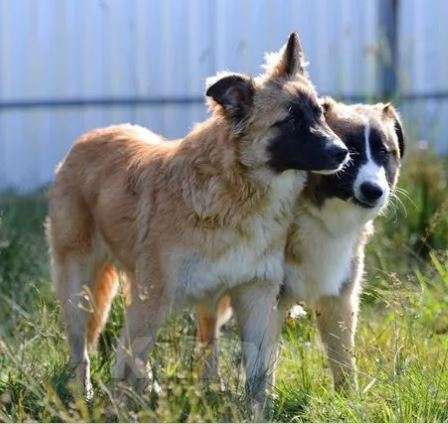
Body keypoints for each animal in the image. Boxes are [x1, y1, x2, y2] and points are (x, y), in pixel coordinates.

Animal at [47, 31, 348, 410]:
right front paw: (124, 407)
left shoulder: (255, 295)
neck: (237, 191)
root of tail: (86, 140)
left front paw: (256, 410)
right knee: (84, 348)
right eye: (291, 121)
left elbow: (258, 370)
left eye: (319, 113)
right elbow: (130, 361)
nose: (343, 152)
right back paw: (84, 394)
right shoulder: (153, 298)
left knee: (191, 345)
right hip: (80, 288)